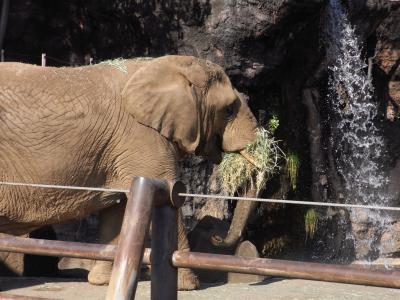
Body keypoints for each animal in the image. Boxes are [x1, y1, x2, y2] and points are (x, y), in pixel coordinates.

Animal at [0, 55, 258, 290]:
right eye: (229, 109)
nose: (215, 234)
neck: (165, 64)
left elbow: (119, 208)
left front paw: (103, 281)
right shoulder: (142, 136)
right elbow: (168, 193)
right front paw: (190, 286)